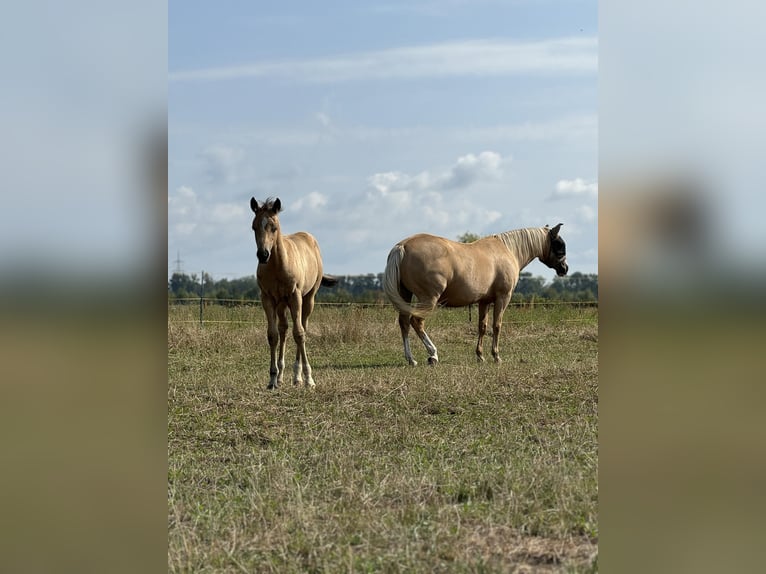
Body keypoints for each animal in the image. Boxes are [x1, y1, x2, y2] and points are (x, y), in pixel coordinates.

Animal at [250, 198, 338, 392]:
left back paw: (298, 377)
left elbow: (299, 334)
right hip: (281, 304)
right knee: (283, 330)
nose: (263, 255)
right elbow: (272, 335)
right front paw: (272, 379)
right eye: (254, 227)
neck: (277, 265)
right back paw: (281, 376)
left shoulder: (295, 296)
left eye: (274, 227)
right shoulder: (267, 298)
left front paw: (308, 379)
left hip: (307, 299)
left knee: (302, 327)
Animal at [384, 224, 568, 364]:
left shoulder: (484, 301)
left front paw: (480, 356)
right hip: (428, 299)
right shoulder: (502, 298)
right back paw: (433, 354)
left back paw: (411, 359)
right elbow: (496, 325)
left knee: (404, 323)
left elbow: (482, 327)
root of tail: (403, 246)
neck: (508, 251)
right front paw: (496, 356)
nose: (564, 269)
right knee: (417, 322)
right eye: (559, 245)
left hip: (406, 295)